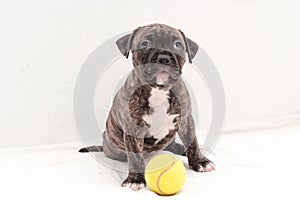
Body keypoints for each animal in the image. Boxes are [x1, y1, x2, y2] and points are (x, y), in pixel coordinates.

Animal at [79, 23, 216, 191]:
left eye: (177, 45)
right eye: (145, 44)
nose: (164, 58)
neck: (158, 89)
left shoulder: (185, 120)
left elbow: (192, 142)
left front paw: (200, 161)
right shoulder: (134, 128)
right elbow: (135, 156)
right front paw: (135, 179)